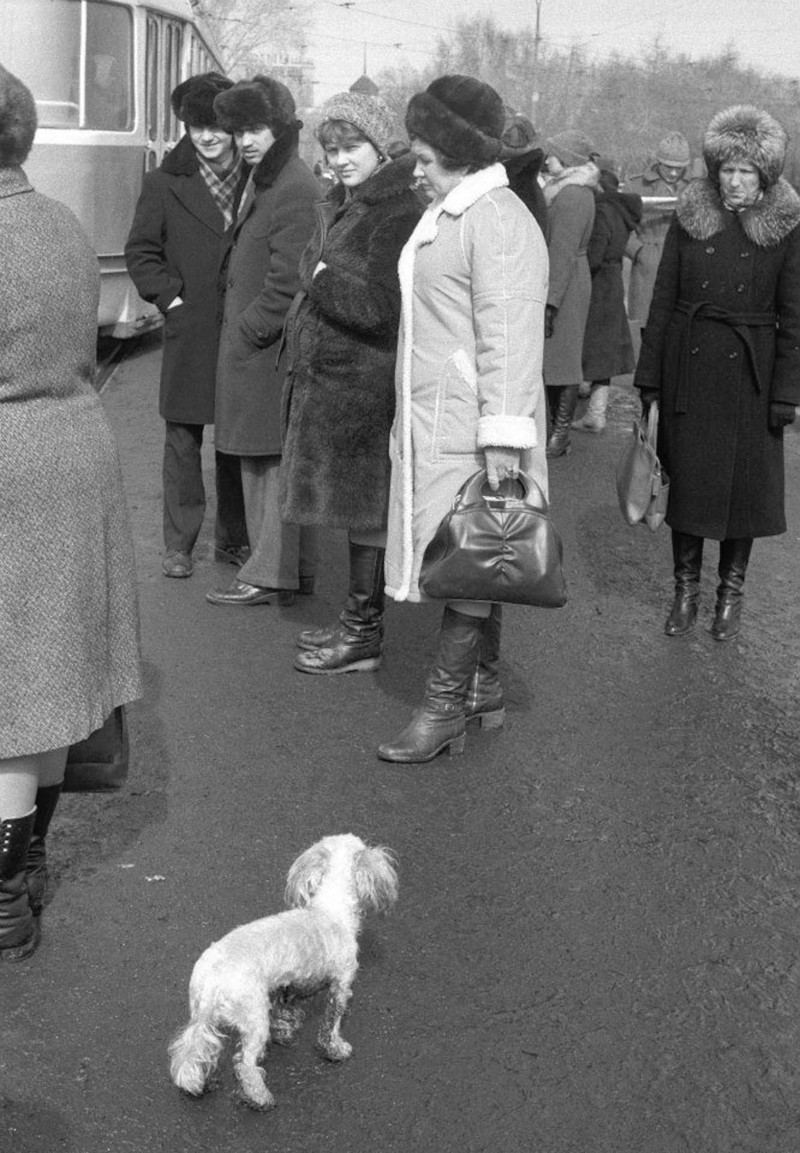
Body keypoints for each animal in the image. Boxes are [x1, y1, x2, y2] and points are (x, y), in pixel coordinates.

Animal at [168, 839, 398, 1106]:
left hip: (204, 1017)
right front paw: (336, 1049)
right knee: (245, 1064)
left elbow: (286, 1010)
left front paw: (286, 1031)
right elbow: (332, 1023)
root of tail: (211, 977)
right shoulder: (341, 985)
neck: (330, 909)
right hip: (255, 1018)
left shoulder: (286, 985)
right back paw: (259, 1097)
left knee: (197, 1048)